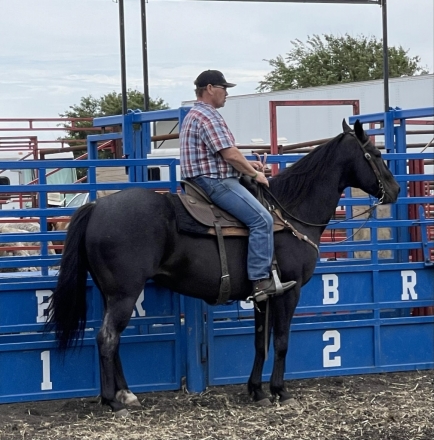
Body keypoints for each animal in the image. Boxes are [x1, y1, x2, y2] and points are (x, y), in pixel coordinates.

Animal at [46, 120, 400, 416]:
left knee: (112, 339)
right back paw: (112, 401)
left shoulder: (264, 295)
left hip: (112, 293)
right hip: (124, 292)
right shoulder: (289, 290)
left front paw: (257, 390)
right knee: (107, 338)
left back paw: (127, 394)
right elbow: (282, 341)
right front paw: (280, 391)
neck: (290, 213)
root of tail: (96, 206)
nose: (395, 190)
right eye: (375, 153)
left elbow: (260, 341)